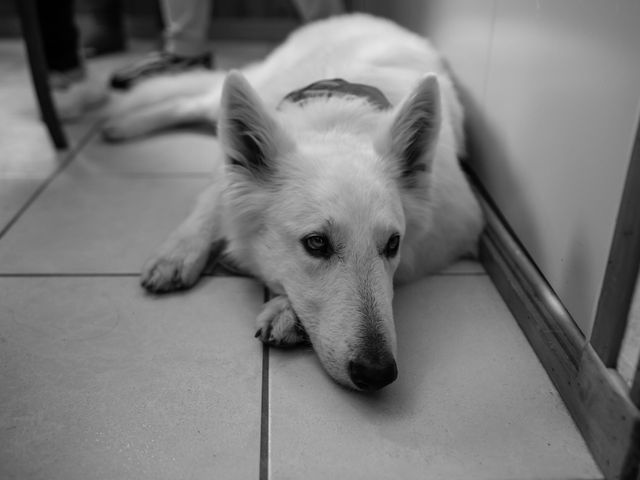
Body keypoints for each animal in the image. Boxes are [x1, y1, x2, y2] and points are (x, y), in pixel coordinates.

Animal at [106, 15, 484, 392]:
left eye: (393, 245)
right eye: (316, 243)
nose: (378, 374)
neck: (337, 124)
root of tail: (360, 17)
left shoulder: (450, 231)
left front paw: (286, 310)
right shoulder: (231, 173)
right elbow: (211, 202)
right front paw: (179, 251)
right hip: (242, 92)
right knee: (191, 99)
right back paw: (121, 121)